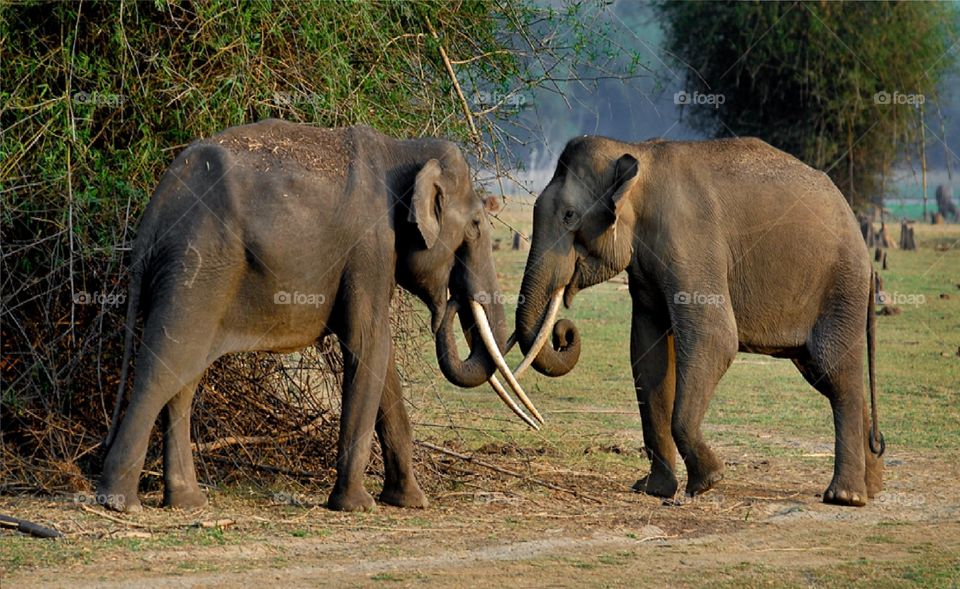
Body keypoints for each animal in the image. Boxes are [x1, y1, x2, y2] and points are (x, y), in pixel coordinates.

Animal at [98, 119, 540, 513]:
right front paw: (357, 506)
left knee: (184, 378)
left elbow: (382, 360)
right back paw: (121, 504)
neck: (402, 149)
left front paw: (411, 502)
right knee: (164, 367)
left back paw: (186, 503)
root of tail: (154, 212)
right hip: (197, 267)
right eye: (477, 225)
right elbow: (367, 346)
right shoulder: (370, 247)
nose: (452, 301)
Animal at [513, 135, 884, 506]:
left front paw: (708, 482)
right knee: (824, 374)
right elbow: (647, 355)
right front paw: (654, 489)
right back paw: (873, 487)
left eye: (569, 216)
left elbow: (715, 338)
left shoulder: (691, 244)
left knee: (836, 373)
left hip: (840, 287)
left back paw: (845, 496)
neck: (637, 154)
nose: (563, 332)